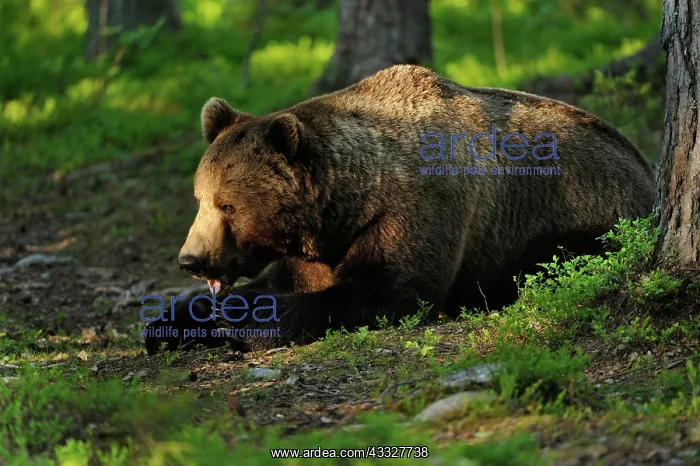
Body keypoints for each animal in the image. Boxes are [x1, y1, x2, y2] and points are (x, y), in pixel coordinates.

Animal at [143, 64, 655, 355]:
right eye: (200, 199)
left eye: (228, 204)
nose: (191, 259)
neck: (346, 206)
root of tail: (645, 167)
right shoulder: (317, 248)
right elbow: (283, 281)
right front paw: (171, 323)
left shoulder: (416, 206)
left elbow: (389, 288)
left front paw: (240, 320)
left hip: (582, 210)